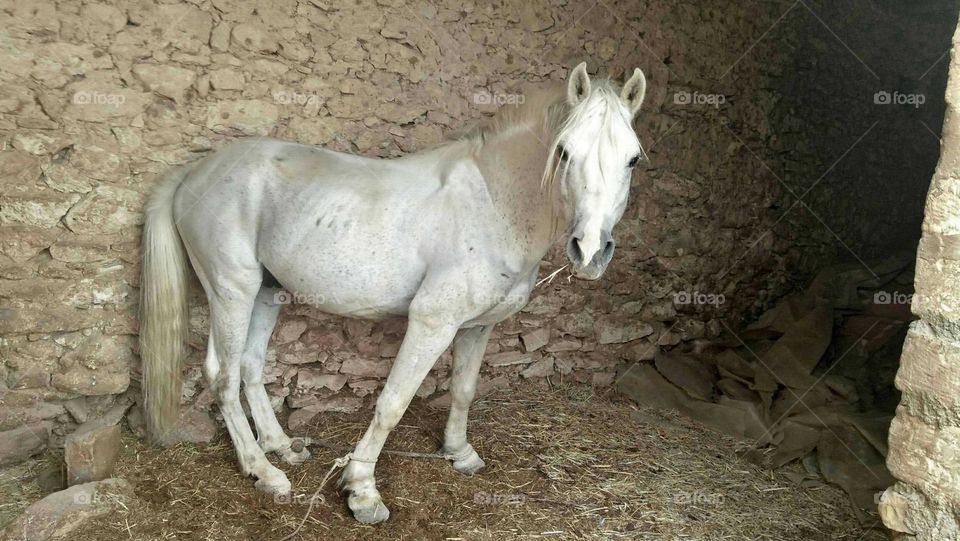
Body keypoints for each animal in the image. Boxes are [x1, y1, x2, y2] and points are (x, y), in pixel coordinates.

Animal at [139, 63, 648, 524]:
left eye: (633, 159)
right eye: (564, 152)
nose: (590, 251)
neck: (492, 202)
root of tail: (195, 172)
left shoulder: (477, 327)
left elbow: (463, 389)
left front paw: (459, 453)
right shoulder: (431, 322)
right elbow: (392, 404)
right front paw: (361, 491)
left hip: (266, 292)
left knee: (249, 367)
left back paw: (281, 446)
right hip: (233, 292)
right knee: (223, 376)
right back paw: (262, 471)